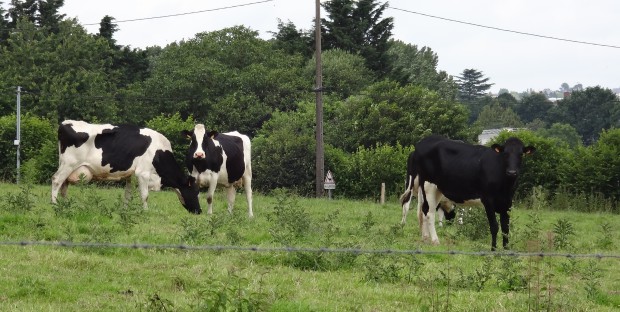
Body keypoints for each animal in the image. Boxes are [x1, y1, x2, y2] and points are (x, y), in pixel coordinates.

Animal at [51, 120, 201, 214]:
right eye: (195, 192)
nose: (199, 211)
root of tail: (65, 123)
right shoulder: (142, 173)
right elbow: (145, 195)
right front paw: (145, 212)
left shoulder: (131, 177)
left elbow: (127, 195)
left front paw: (124, 210)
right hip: (68, 164)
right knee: (56, 180)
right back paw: (54, 205)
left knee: (64, 186)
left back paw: (66, 205)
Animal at [404, 135, 536, 250]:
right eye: (505, 153)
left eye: (521, 154)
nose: (512, 172)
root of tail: (423, 142)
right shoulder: (488, 201)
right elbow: (494, 226)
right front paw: (493, 249)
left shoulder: (507, 203)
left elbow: (505, 228)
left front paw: (506, 249)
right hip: (428, 186)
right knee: (428, 212)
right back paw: (435, 240)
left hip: (436, 190)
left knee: (423, 211)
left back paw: (426, 239)